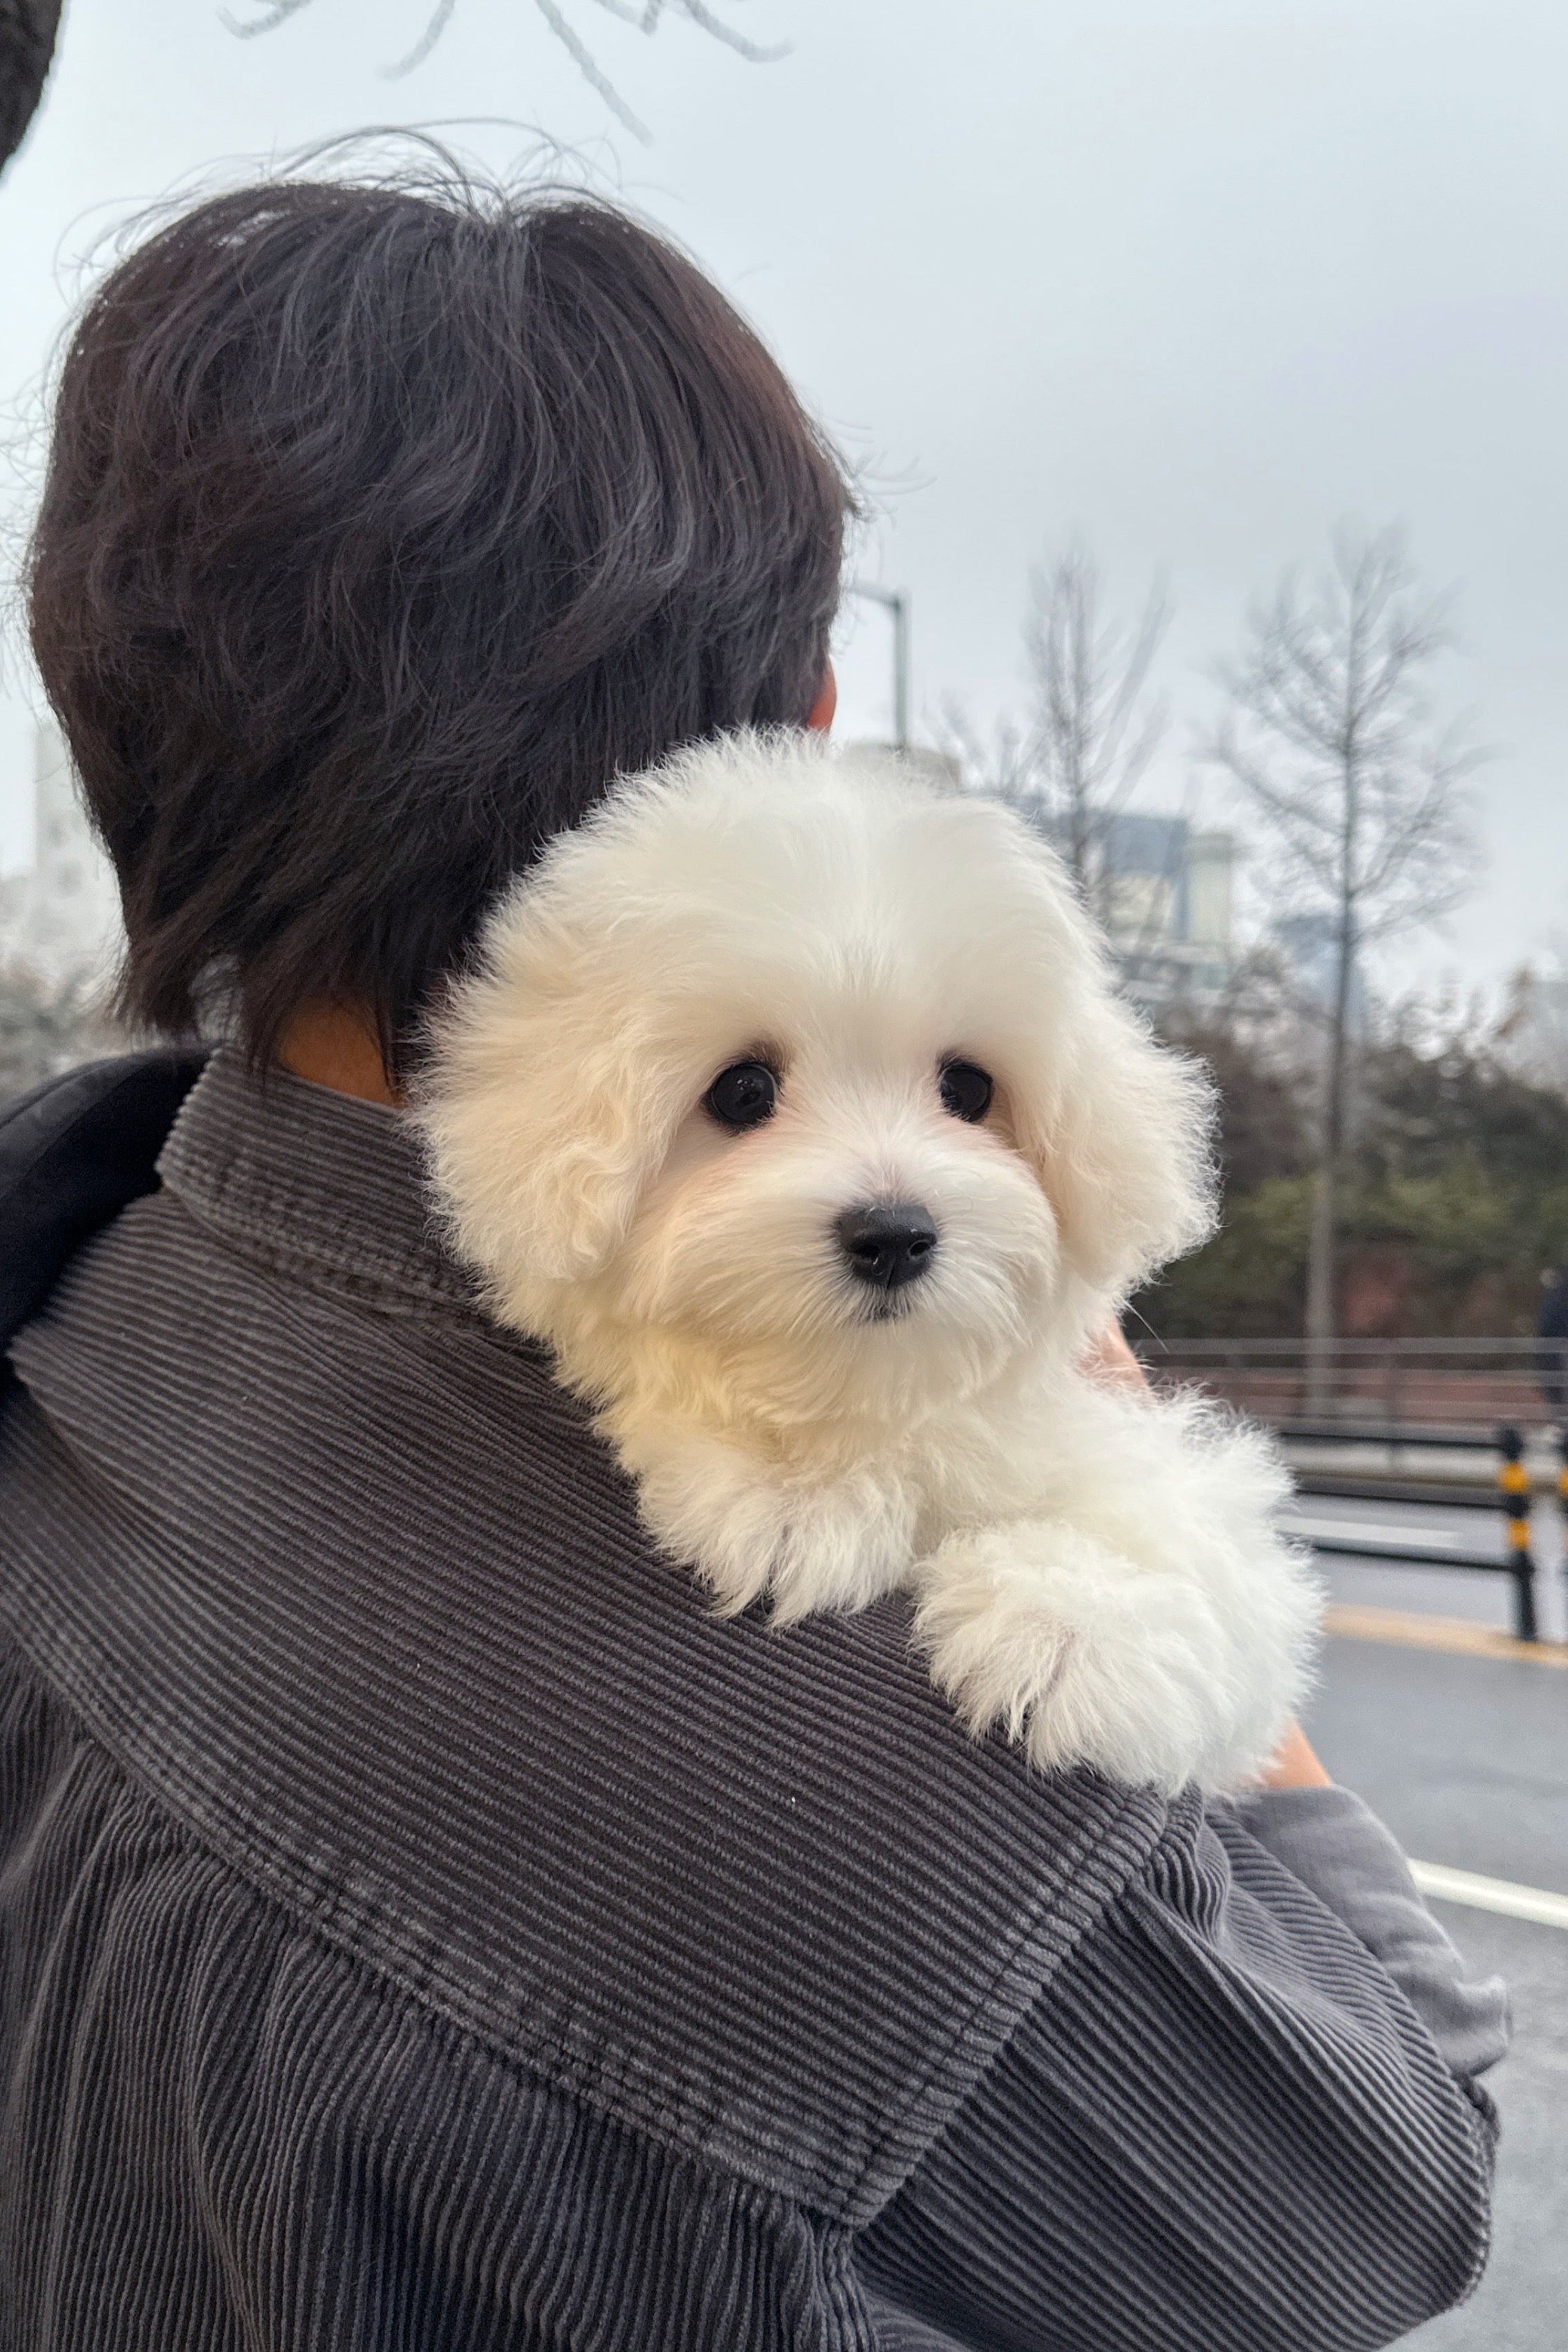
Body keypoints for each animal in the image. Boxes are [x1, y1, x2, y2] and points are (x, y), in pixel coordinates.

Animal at [423, 724, 1316, 1787]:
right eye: (741, 1091)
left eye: (969, 1088)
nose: (894, 1232)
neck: (878, 1397)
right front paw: (792, 1492)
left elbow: (1187, 1540)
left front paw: (1071, 1627)